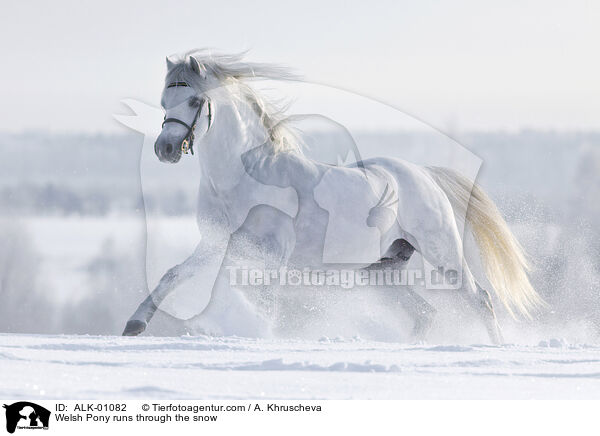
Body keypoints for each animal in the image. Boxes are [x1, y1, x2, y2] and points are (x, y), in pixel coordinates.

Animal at [123, 52, 544, 344]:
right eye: (163, 103)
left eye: (195, 102)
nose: (165, 149)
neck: (242, 179)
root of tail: (423, 175)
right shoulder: (215, 244)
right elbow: (173, 275)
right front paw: (134, 325)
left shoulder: (269, 253)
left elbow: (262, 300)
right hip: (381, 269)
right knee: (425, 312)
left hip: (443, 254)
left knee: (481, 298)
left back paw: (497, 348)